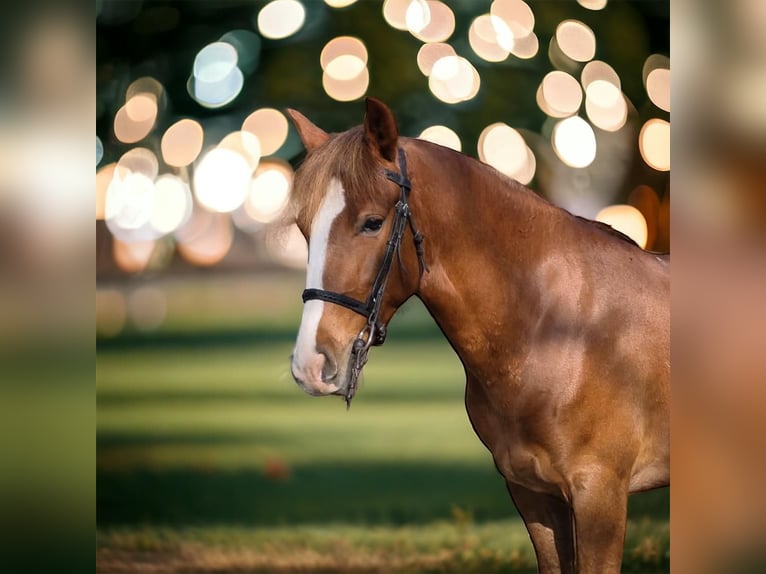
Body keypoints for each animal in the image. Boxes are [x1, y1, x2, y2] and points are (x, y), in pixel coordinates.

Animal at [284, 97, 668, 572]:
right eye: (304, 228)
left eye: (372, 223)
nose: (310, 364)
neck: (561, 330)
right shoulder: (534, 495)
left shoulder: (600, 495)